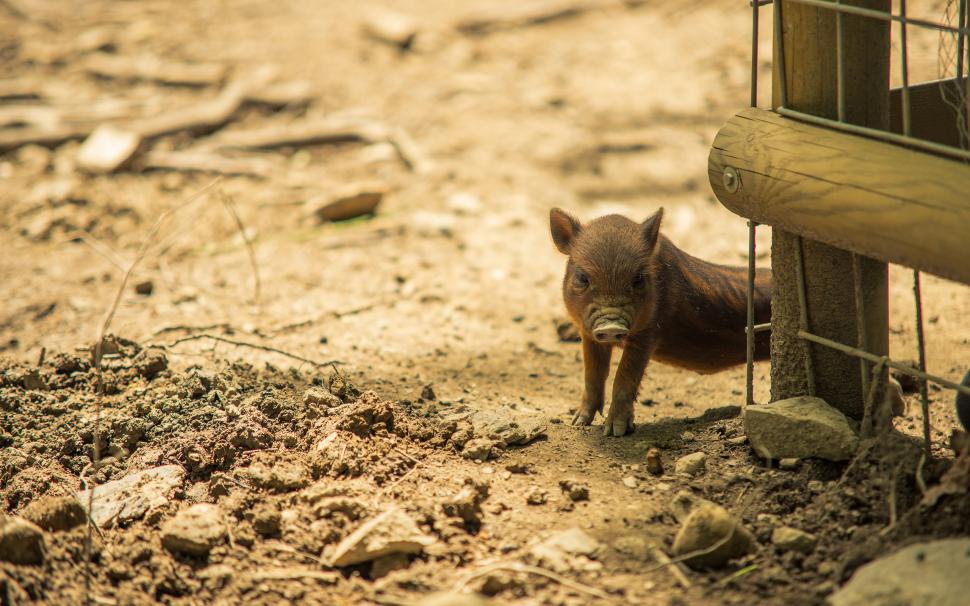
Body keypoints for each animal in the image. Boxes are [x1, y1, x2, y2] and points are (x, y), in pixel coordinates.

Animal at [549, 207, 771, 436]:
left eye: (638, 278)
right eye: (582, 277)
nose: (611, 326)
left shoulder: (649, 331)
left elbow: (625, 377)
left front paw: (615, 432)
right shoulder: (588, 333)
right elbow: (592, 375)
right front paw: (577, 423)